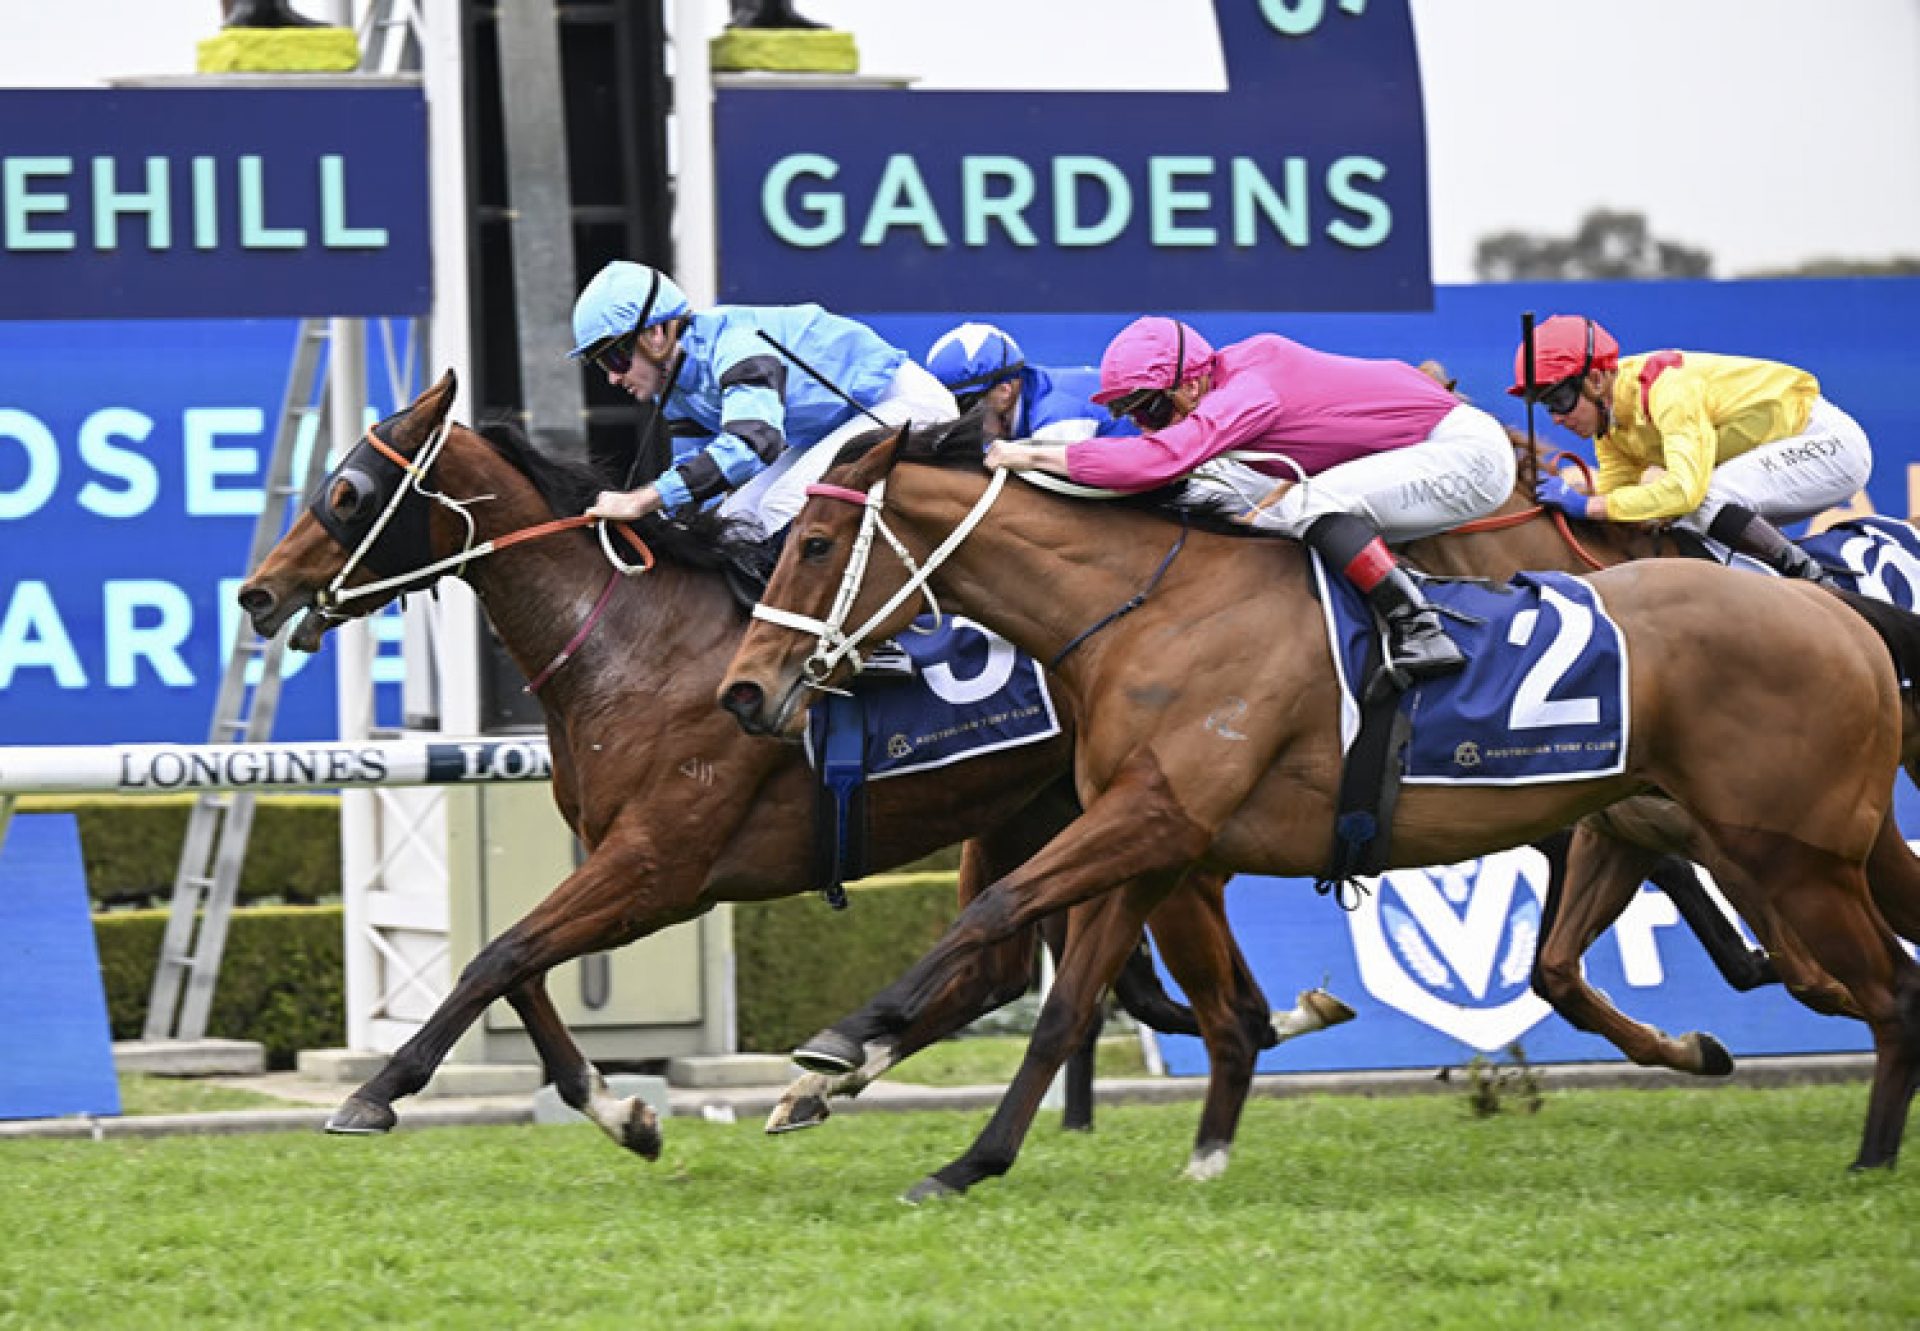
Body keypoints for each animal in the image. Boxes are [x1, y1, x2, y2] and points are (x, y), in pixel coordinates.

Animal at [228, 370, 1320, 1160]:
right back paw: (820, 1079)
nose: (258, 592)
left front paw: (377, 1091)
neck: (626, 638)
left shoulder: (659, 867)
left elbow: (498, 956)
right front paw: (622, 1112)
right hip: (1026, 811)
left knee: (1211, 1002)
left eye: (346, 490)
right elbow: (520, 967)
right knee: (1003, 963)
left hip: (1151, 820)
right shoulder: (619, 860)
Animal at [718, 414, 1920, 1190]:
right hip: (1786, 837)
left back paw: (1866, 1154)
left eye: (813, 544)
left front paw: (838, 1046)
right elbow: (1066, 1006)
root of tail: (1835, 612)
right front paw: (973, 1159)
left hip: (1793, 852)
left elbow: (993, 910)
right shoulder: (1155, 841)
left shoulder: (1150, 820)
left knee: (1889, 989)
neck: (1148, 609)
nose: (745, 691)